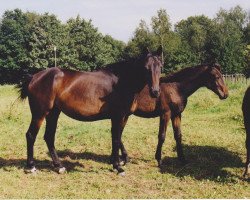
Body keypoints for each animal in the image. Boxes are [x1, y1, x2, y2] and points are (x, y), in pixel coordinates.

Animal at [17, 47, 162, 175]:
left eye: (160, 67)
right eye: (146, 68)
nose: (155, 92)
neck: (121, 82)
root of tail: (34, 77)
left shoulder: (123, 117)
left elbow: (117, 137)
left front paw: (117, 162)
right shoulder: (118, 116)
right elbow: (116, 139)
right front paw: (118, 167)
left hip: (53, 113)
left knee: (49, 137)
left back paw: (59, 166)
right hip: (39, 114)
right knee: (31, 135)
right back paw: (31, 167)